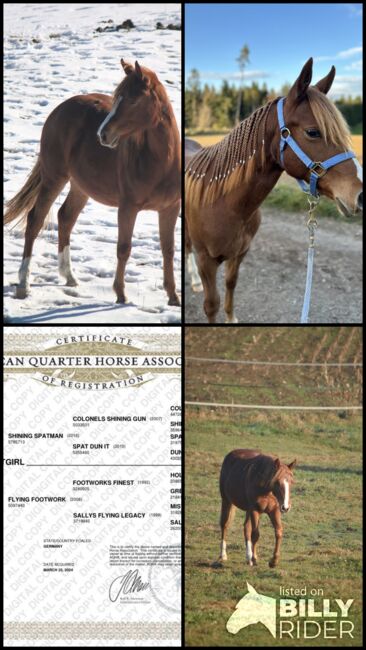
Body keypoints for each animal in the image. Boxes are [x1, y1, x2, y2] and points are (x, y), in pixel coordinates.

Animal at [4, 59, 182, 306]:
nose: (103, 135)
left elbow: (168, 250)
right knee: (35, 221)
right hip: (54, 178)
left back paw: (69, 276)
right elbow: (124, 248)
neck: (162, 162)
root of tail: (59, 110)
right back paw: (24, 284)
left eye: (133, 100)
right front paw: (120, 294)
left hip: (80, 187)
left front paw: (173, 297)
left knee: (65, 217)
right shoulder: (127, 208)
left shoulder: (170, 209)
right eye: (116, 98)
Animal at [186, 56, 364, 322]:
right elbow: (211, 305)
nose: (361, 195)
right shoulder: (206, 261)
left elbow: (231, 283)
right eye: (313, 132)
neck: (224, 204)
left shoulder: (240, 254)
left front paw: (231, 318)